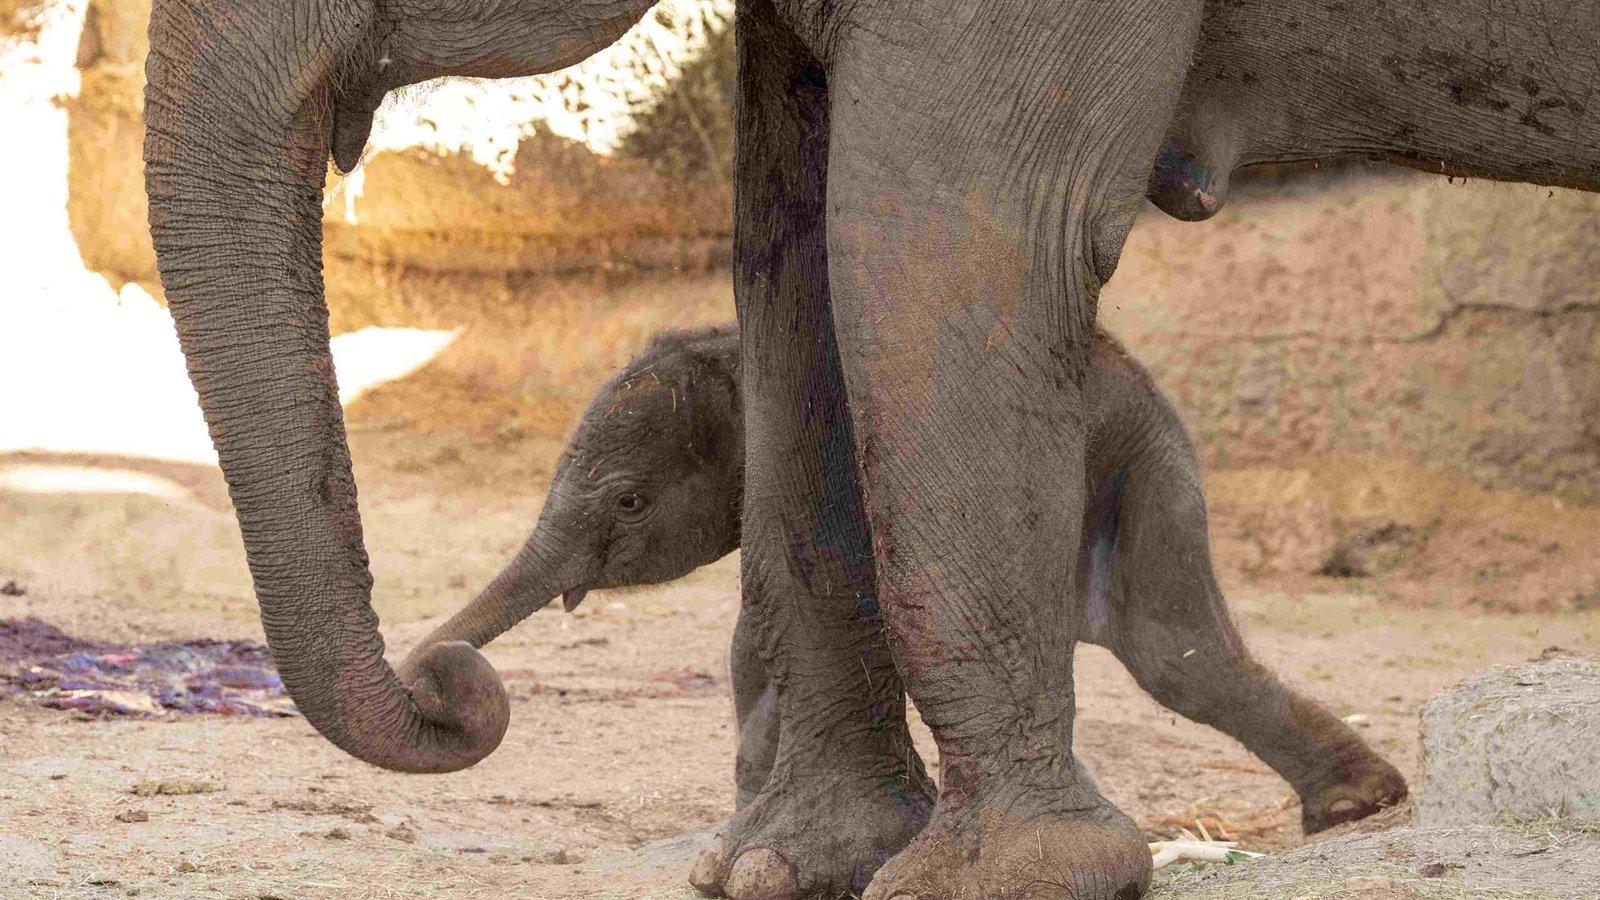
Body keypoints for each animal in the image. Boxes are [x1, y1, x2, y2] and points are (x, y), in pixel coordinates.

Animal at [399, 321, 1407, 834]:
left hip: (1128, 463)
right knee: (1177, 653)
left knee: (1169, 654)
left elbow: (783, 623)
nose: (440, 675)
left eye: (630, 502)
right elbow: (760, 631)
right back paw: (1353, 805)